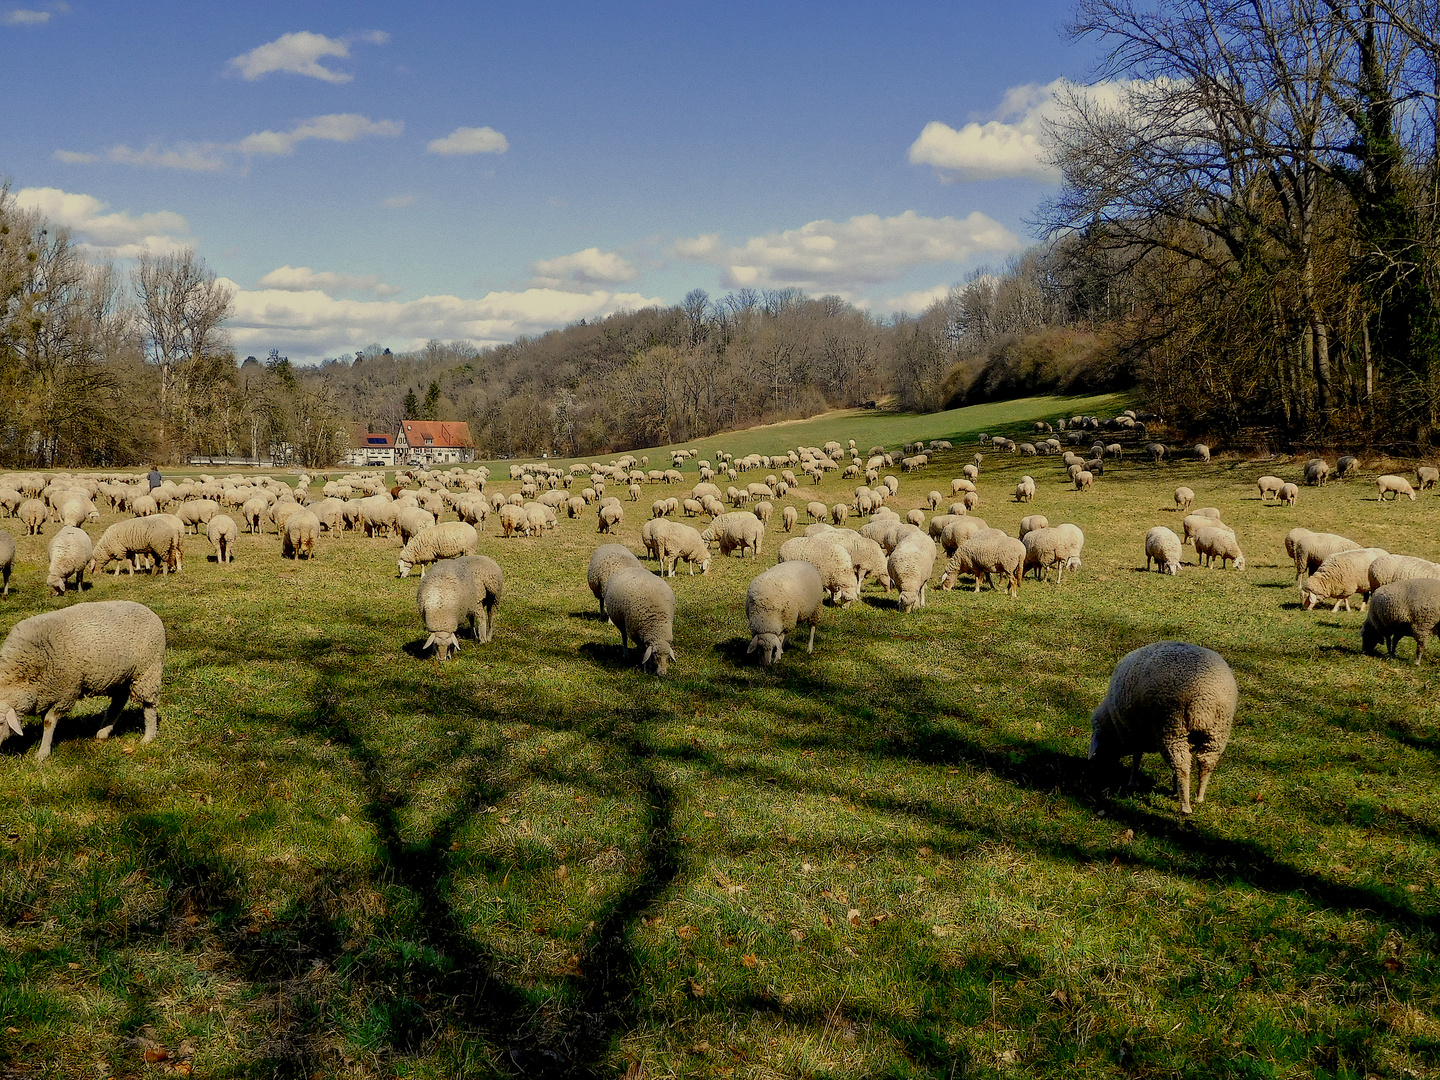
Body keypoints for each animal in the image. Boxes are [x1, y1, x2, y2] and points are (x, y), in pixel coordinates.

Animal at [0, 601, 165, 771]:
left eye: (1, 722)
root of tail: (147, 609)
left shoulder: (65, 693)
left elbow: (48, 722)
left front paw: (42, 753)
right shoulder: (47, 693)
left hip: (148, 669)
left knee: (149, 705)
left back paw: (148, 737)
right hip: (120, 675)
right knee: (119, 701)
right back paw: (103, 732)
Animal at [1088, 639, 1238, 817]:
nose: (1098, 768)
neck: (1113, 725)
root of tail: (1203, 698)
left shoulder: (1136, 732)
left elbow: (1136, 758)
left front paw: (1132, 782)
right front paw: (1174, 789)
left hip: (1171, 726)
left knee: (1182, 766)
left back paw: (1185, 806)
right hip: (1217, 732)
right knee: (1206, 763)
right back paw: (1199, 797)